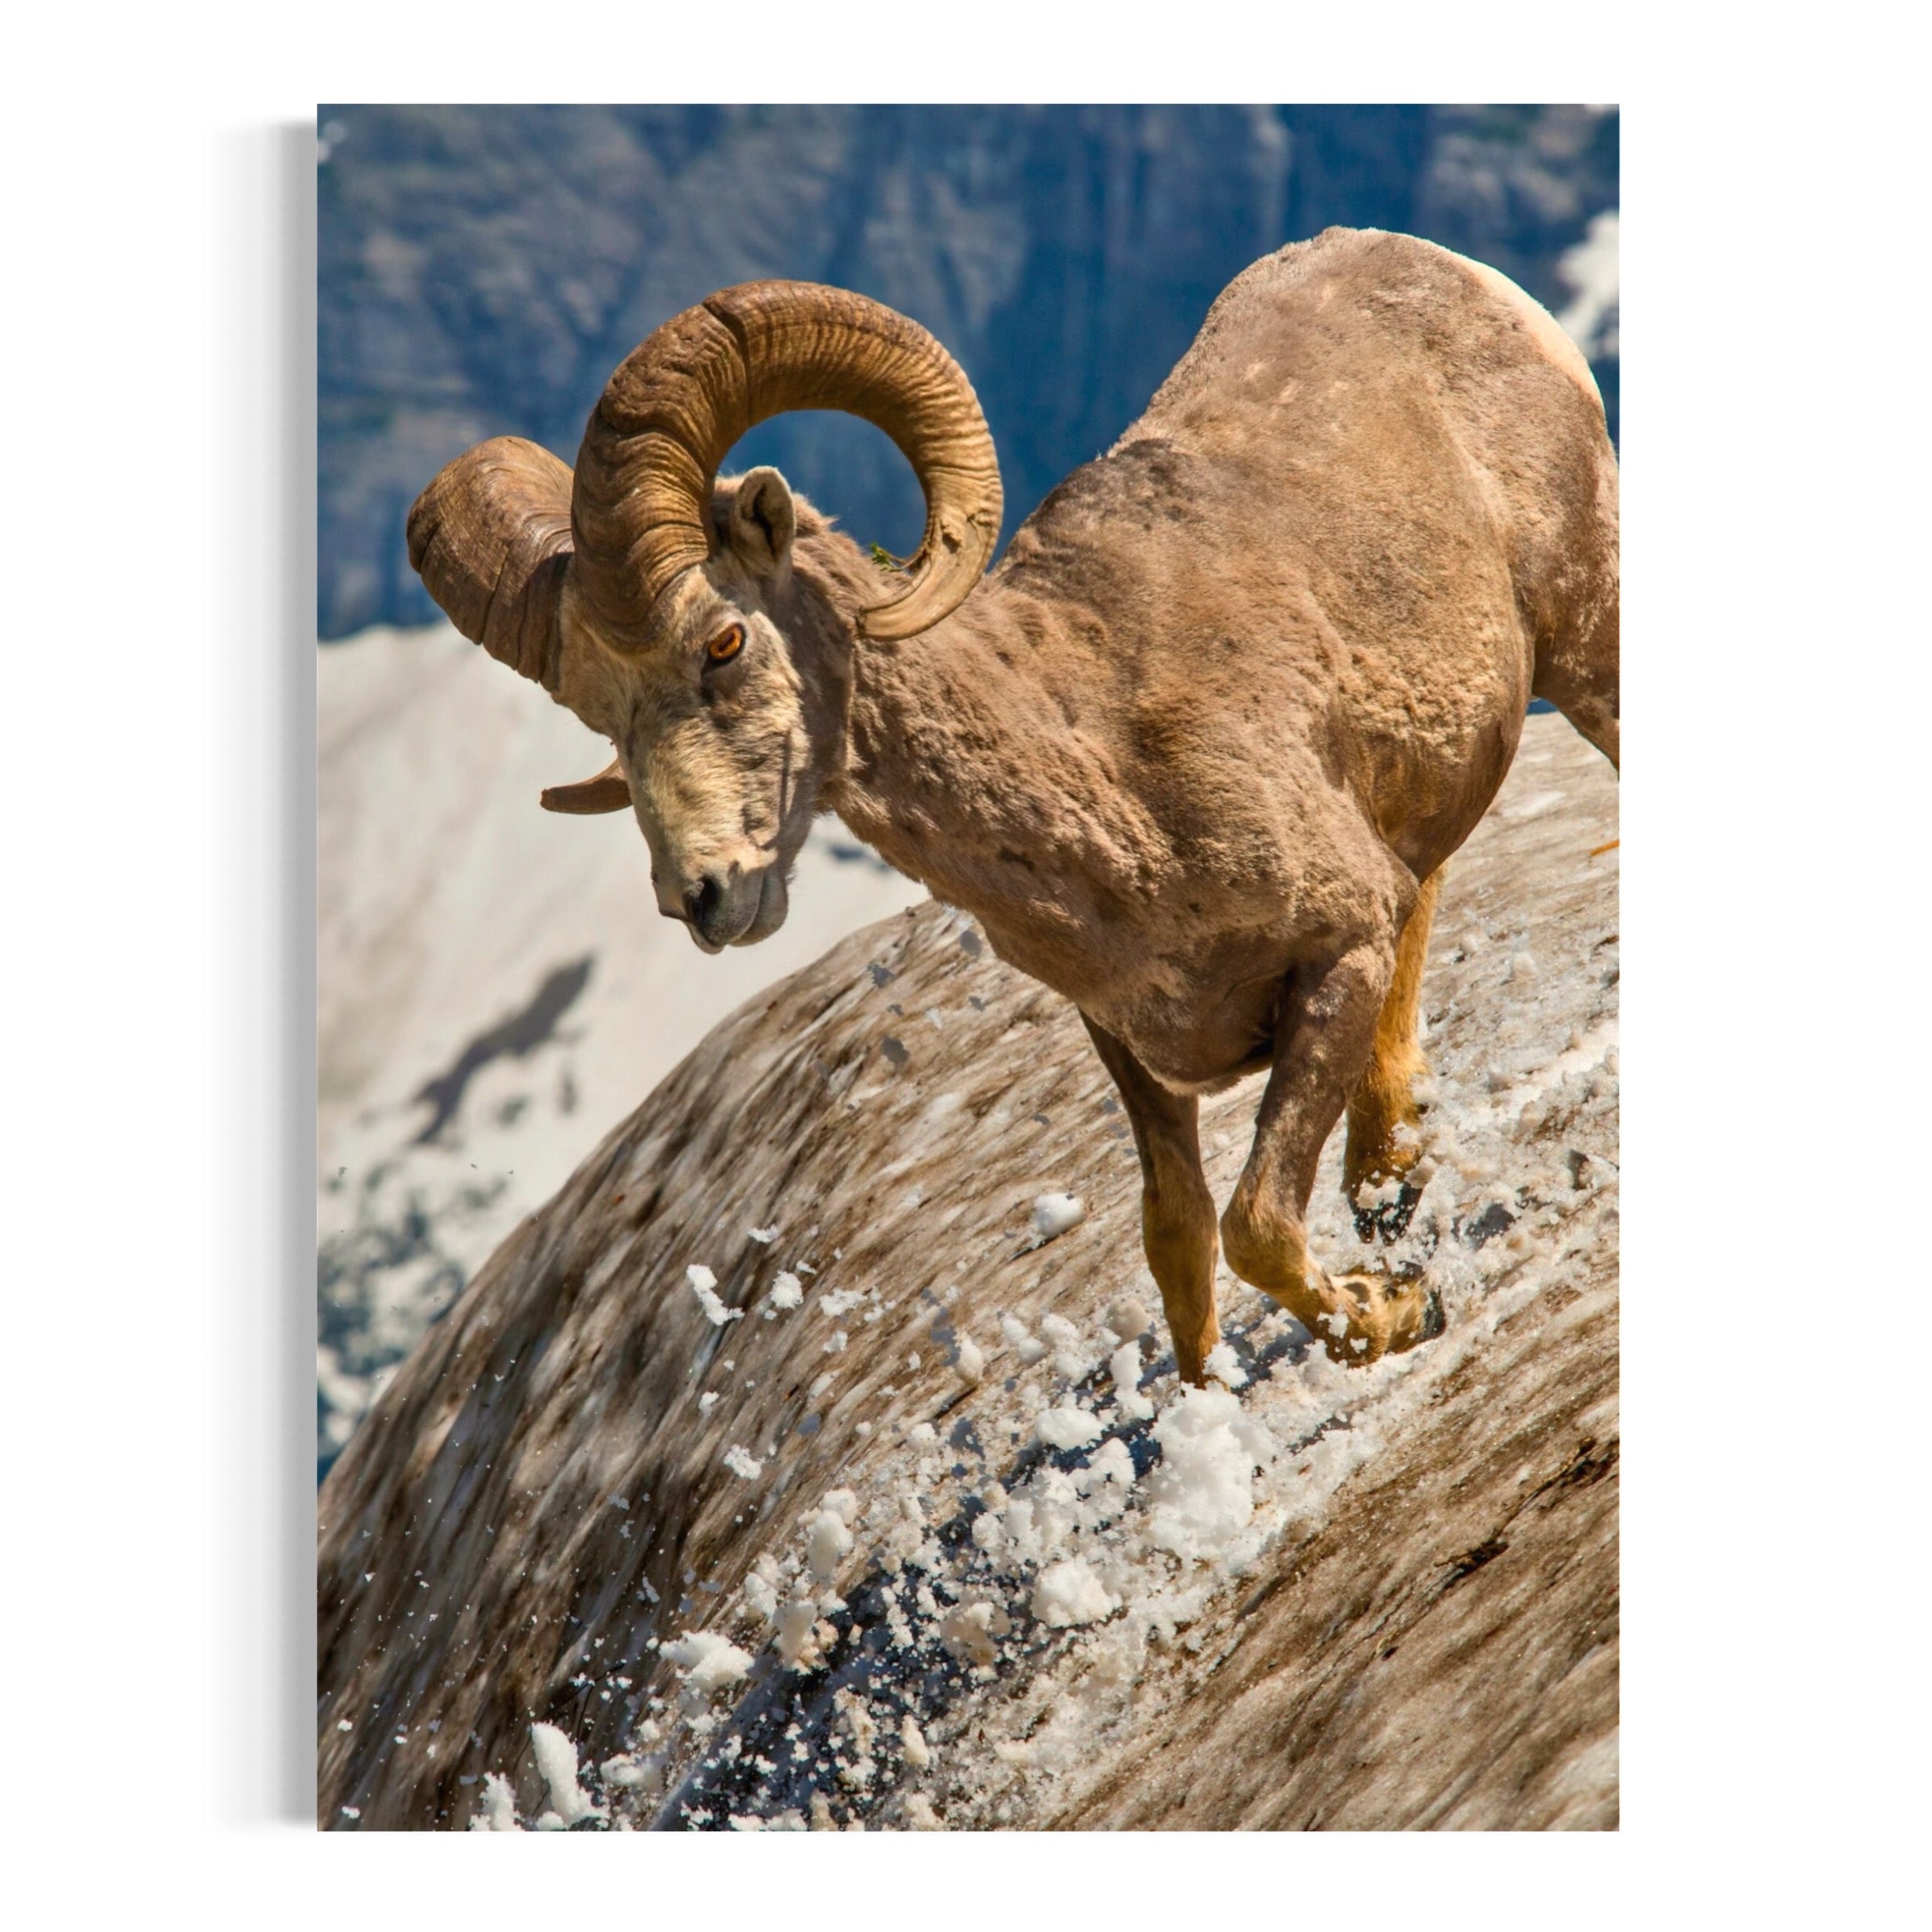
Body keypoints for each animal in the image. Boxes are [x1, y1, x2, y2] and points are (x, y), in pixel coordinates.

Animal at [407, 226, 1618, 1388]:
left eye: (724, 640)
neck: (1111, 782)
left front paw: (1397, 1312)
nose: (702, 896)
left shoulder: (1339, 953)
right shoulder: (1131, 1042)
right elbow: (1179, 1242)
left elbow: (1258, 1228)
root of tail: (1444, 270)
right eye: (600, 715)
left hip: (1586, 639)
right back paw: (1391, 1172)